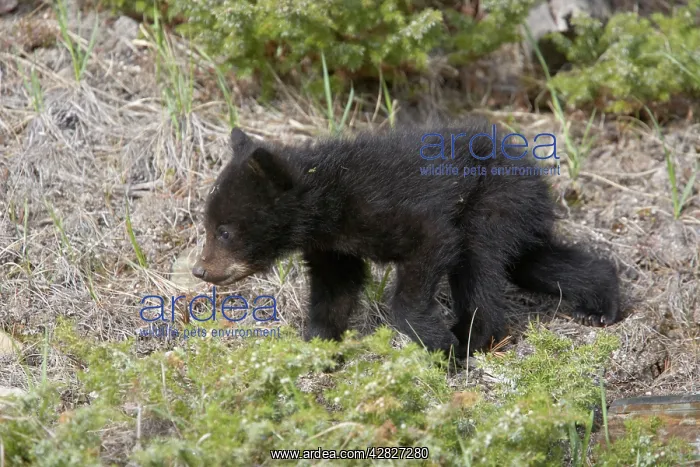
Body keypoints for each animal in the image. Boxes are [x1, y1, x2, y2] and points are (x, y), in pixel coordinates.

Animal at [192, 117, 621, 358]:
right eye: (207, 224)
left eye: (224, 230)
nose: (200, 270)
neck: (328, 202)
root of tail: (534, 172)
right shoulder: (331, 246)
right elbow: (335, 289)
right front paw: (317, 344)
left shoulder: (390, 210)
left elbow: (429, 246)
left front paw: (435, 341)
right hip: (516, 218)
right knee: (532, 262)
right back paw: (603, 305)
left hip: (490, 203)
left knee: (478, 265)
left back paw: (473, 338)